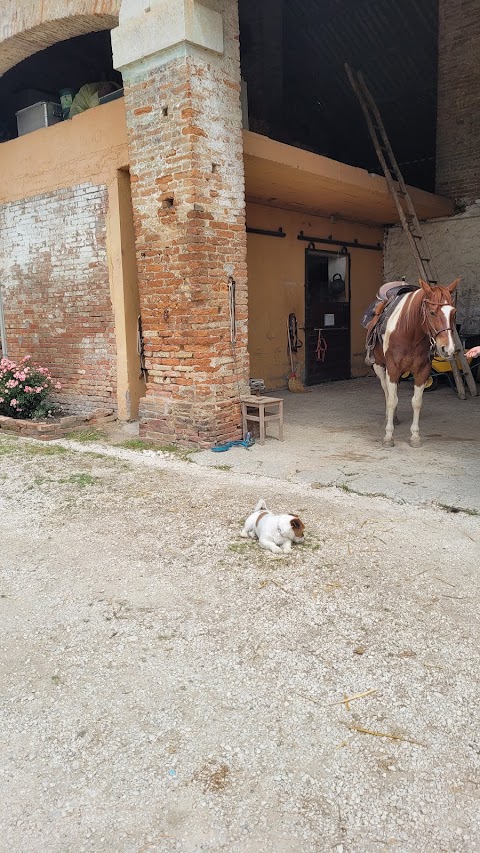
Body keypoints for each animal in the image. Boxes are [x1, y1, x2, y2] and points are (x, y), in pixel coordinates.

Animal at [370, 276, 460, 446]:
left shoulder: (423, 371)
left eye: (454, 313)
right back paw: (388, 419)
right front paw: (388, 436)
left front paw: (415, 436)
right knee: (386, 391)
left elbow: (417, 402)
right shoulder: (392, 368)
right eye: (432, 312)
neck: (410, 333)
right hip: (379, 366)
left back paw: (395, 418)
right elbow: (391, 399)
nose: (448, 348)